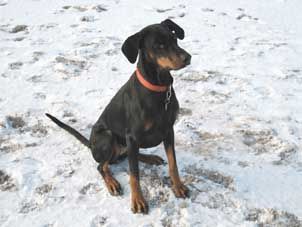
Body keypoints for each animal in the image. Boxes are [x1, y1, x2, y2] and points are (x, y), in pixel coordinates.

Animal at [45, 18, 191, 214]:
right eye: (159, 45)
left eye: (175, 39)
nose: (188, 57)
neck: (158, 89)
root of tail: (91, 144)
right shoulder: (132, 136)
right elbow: (134, 174)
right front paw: (138, 200)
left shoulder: (168, 130)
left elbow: (173, 163)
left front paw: (178, 186)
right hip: (108, 136)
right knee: (103, 165)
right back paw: (112, 183)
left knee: (127, 156)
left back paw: (150, 157)